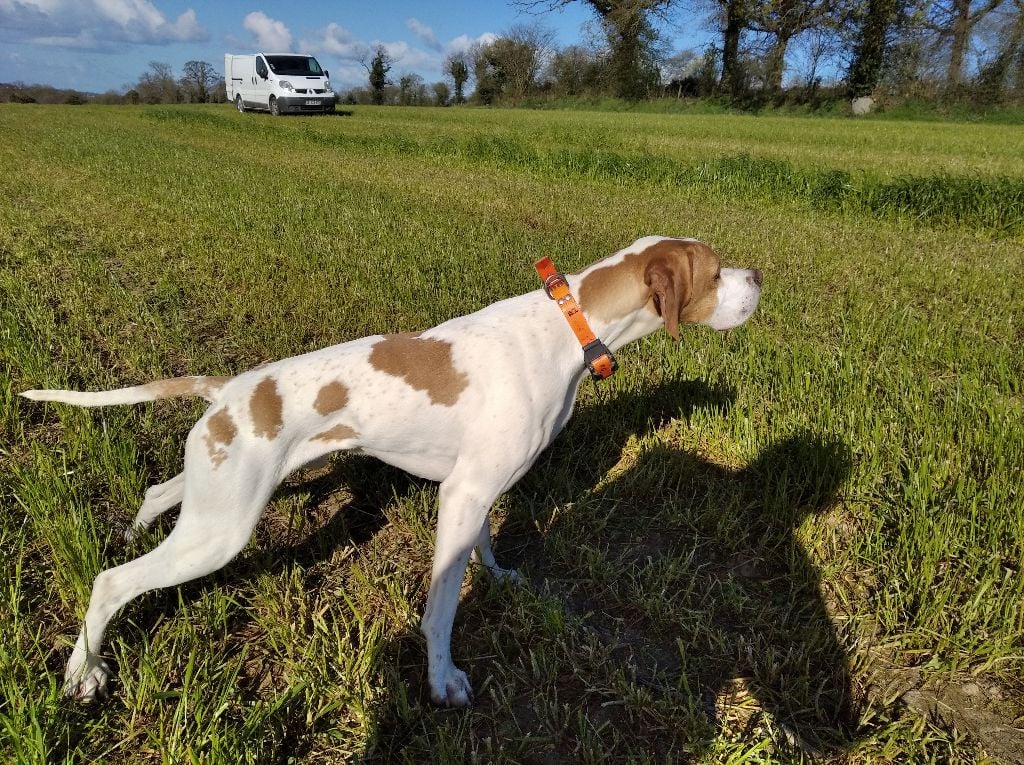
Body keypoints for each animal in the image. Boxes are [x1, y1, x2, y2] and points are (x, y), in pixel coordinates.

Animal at [22, 236, 761, 708]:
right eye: (716, 273)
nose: (758, 277)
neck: (563, 326)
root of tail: (230, 388)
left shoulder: (476, 488)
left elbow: (486, 545)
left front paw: (500, 576)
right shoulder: (463, 493)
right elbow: (441, 608)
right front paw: (443, 681)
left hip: (218, 495)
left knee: (159, 491)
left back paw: (128, 536)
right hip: (222, 531)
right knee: (113, 582)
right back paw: (83, 671)